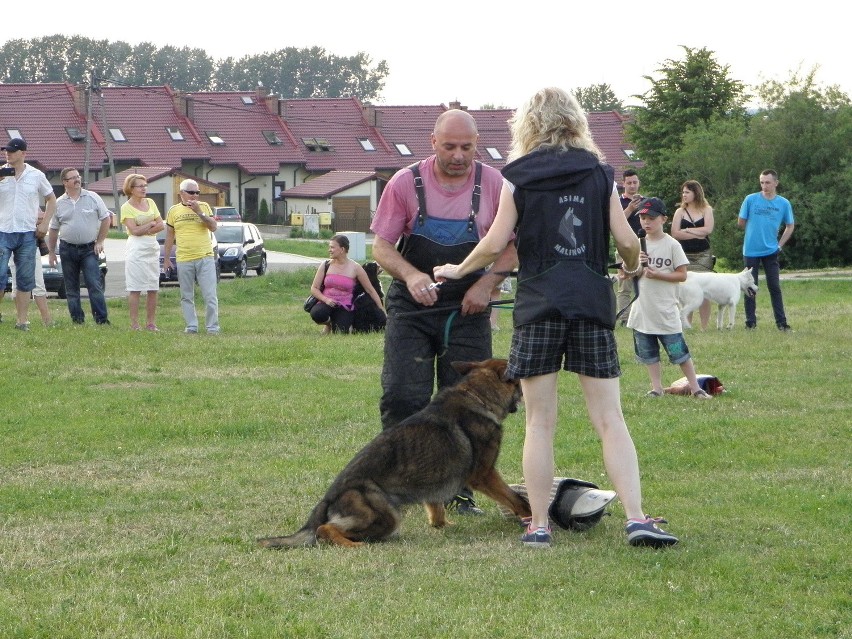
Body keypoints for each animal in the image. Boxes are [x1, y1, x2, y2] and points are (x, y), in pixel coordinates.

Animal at [256, 358, 528, 548]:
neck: (478, 395)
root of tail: (328, 497)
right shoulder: (485, 475)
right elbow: (516, 498)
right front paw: (530, 516)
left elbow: (435, 507)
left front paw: (441, 524)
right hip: (385, 516)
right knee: (324, 530)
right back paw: (353, 546)